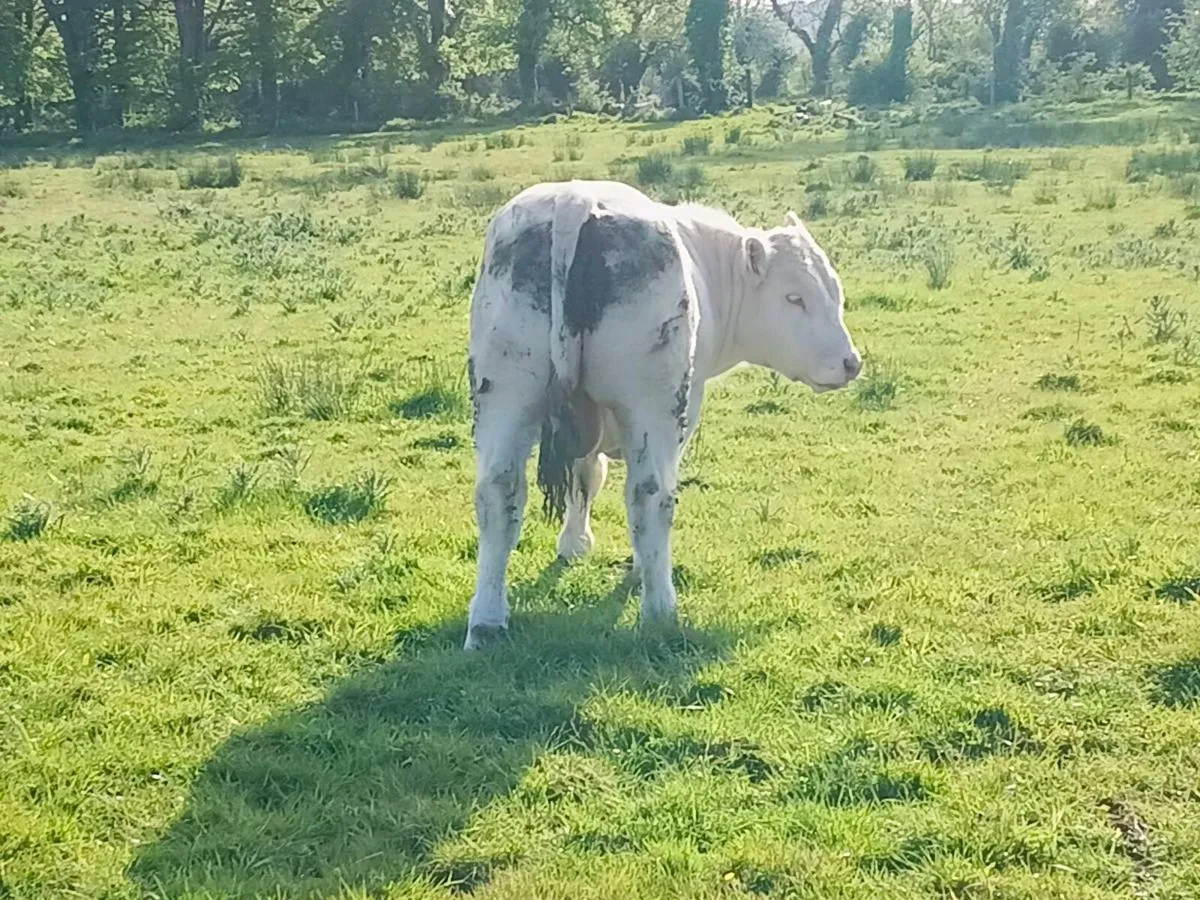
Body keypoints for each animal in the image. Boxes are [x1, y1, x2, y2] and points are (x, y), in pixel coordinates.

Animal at [463, 180, 861, 650]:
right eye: (794, 297)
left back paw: (486, 622)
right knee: (650, 495)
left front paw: (574, 542)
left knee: (498, 493)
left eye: (834, 290)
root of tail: (574, 200)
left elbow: (586, 476)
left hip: (506, 394)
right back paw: (660, 610)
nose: (850, 362)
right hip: (654, 406)